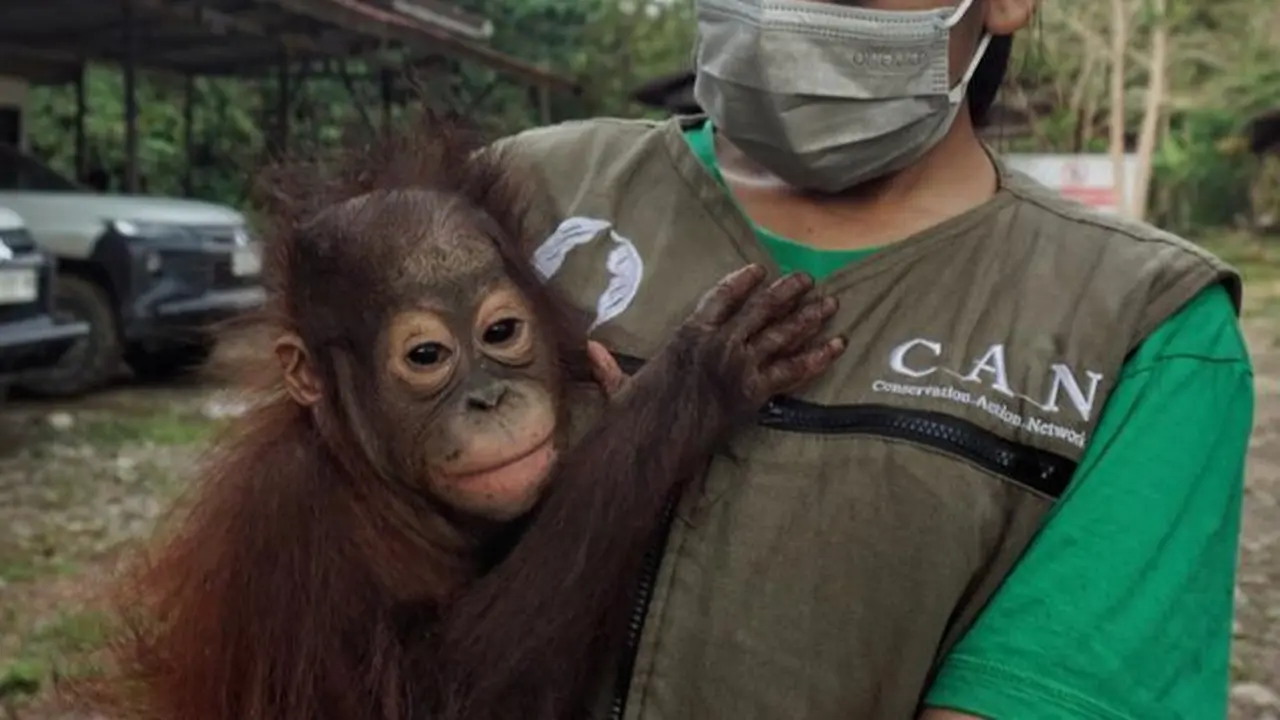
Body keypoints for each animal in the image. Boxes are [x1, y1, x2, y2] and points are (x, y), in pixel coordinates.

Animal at [71, 111, 846, 720]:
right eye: (426, 355)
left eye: (500, 333)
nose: (489, 400)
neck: (372, 485)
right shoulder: (286, 530)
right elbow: (433, 698)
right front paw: (690, 383)